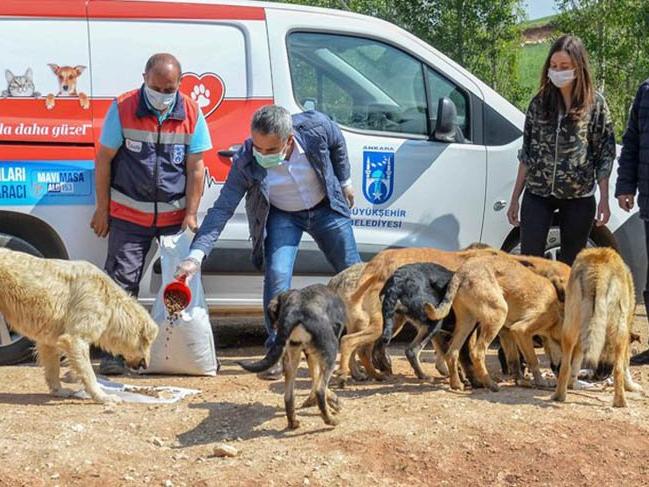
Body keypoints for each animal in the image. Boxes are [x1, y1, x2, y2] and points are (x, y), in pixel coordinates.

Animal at [0, 249, 158, 403]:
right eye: (148, 343)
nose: (146, 366)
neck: (109, 302)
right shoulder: (76, 340)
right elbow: (89, 374)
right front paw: (102, 396)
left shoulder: (49, 341)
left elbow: (53, 369)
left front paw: (59, 391)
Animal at [238, 284, 345, 429]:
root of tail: (294, 309)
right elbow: (317, 381)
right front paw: (332, 402)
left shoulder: (309, 354)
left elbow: (314, 377)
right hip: (331, 351)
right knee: (320, 390)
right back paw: (330, 419)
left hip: (292, 357)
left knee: (288, 395)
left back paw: (293, 422)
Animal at [424, 253, 569, 392]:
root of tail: (461, 272)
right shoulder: (521, 330)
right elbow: (533, 360)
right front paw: (540, 382)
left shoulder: (507, 333)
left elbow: (514, 361)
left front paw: (521, 381)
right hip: (497, 316)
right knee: (477, 353)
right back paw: (490, 384)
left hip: (467, 324)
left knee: (452, 353)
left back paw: (456, 384)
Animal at [552, 248, 642, 407]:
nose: (599, 376)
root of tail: (597, 267)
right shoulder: (625, 333)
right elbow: (625, 365)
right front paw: (631, 386)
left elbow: (576, 361)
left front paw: (573, 383)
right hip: (619, 329)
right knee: (618, 369)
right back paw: (620, 402)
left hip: (570, 324)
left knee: (565, 365)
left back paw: (559, 395)